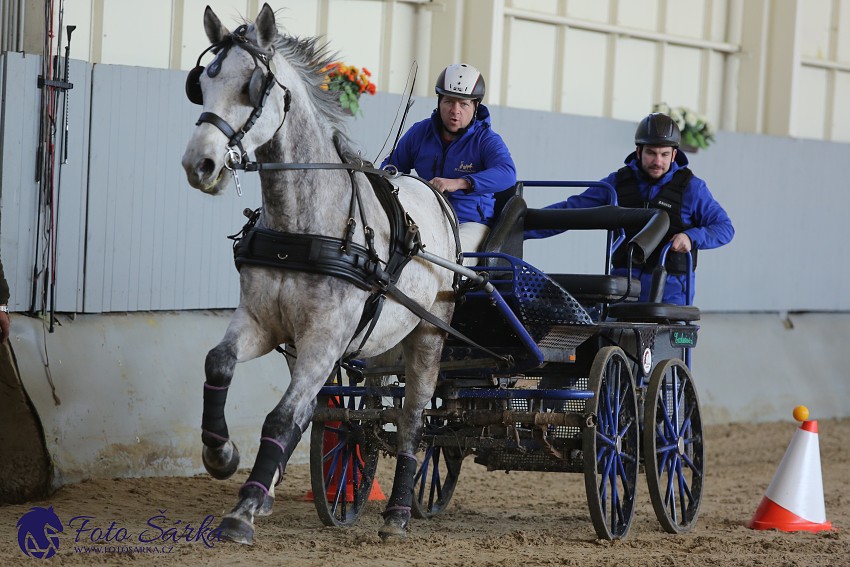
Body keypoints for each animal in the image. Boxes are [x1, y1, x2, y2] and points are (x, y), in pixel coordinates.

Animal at [180, 4, 458, 544]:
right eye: (201, 83)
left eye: (251, 86)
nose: (198, 163)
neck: (304, 227)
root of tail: (437, 197)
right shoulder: (261, 323)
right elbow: (218, 364)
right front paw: (222, 455)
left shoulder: (324, 339)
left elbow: (282, 416)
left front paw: (243, 509)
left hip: (428, 337)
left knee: (413, 420)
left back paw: (398, 513)